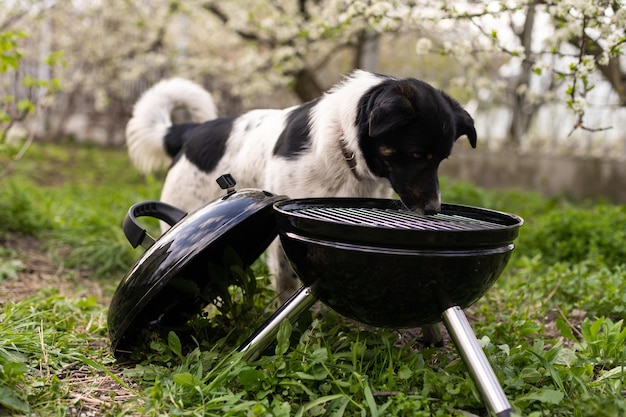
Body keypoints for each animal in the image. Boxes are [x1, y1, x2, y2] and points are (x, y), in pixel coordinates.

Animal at [129, 70, 476, 302]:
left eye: (442, 159)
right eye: (417, 155)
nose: (433, 209)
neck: (344, 148)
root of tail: (189, 131)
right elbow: (287, 276)